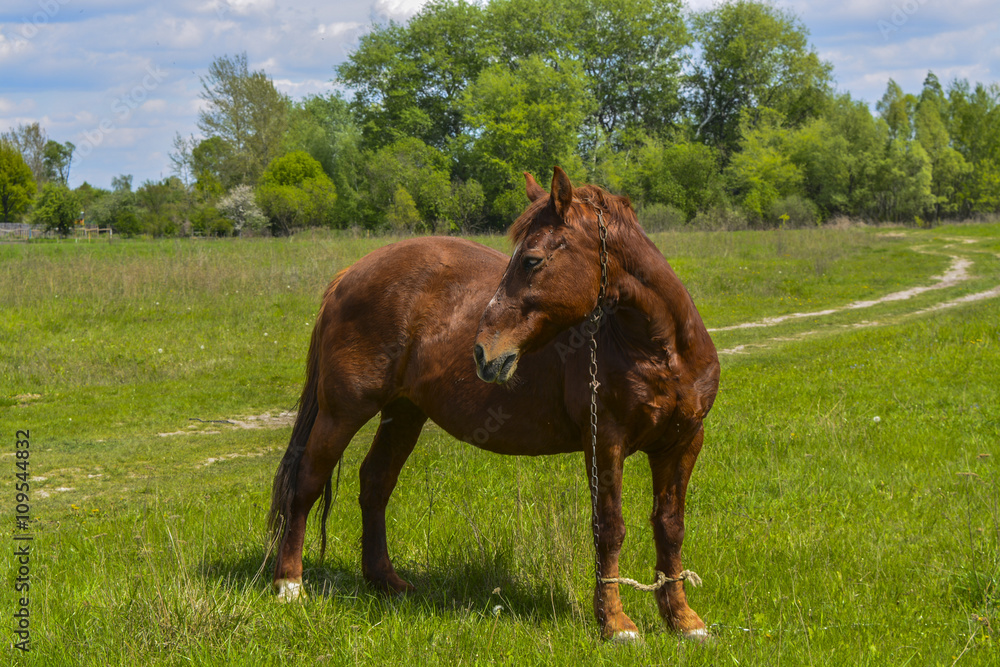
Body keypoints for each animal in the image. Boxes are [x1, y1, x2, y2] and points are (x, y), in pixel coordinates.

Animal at [268, 166, 720, 642]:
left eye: (532, 260)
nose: (484, 352)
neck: (659, 350)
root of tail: (350, 274)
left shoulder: (683, 443)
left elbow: (670, 528)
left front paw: (683, 619)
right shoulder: (605, 441)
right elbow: (610, 527)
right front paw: (616, 623)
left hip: (404, 413)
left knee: (375, 483)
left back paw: (386, 581)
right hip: (343, 413)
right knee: (307, 481)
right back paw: (289, 584)